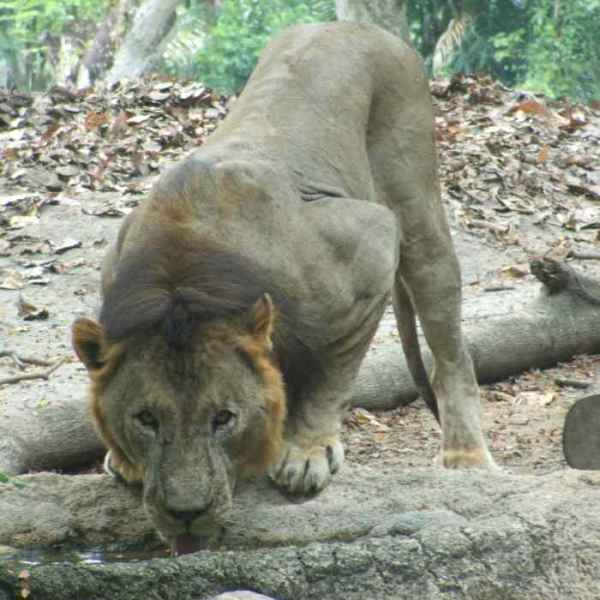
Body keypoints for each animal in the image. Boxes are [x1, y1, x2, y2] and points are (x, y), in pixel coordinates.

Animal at [71, 21, 492, 556]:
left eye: (223, 418)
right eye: (146, 418)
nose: (186, 514)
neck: (182, 278)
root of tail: (358, 25)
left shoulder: (372, 244)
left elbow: (332, 374)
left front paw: (307, 453)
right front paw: (122, 461)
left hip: (415, 204)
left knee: (449, 345)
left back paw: (467, 457)